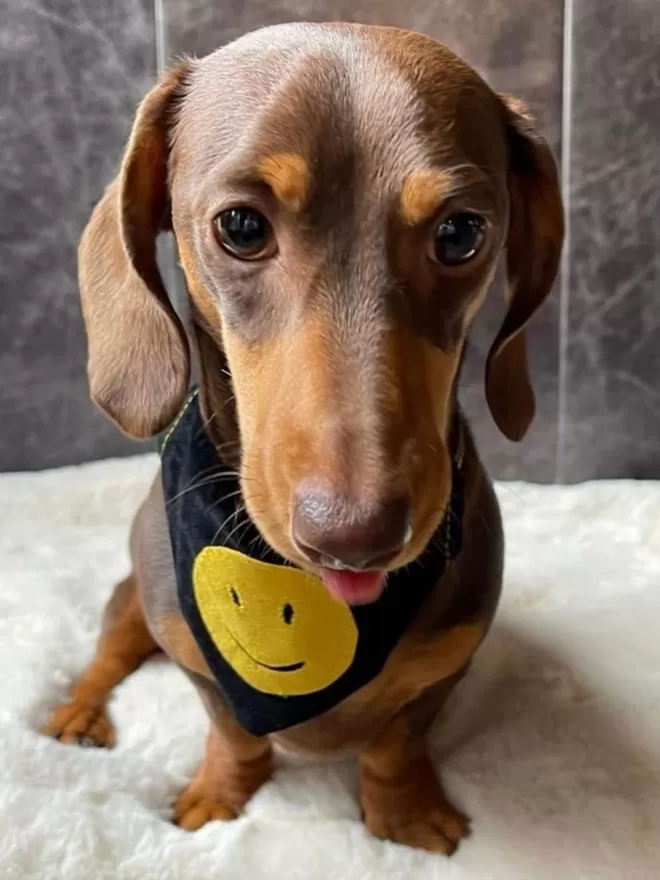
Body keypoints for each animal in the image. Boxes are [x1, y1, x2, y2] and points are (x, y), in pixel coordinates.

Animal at [43, 24, 564, 856]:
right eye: (241, 227)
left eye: (461, 233)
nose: (356, 538)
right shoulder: (202, 668)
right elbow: (234, 733)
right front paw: (221, 794)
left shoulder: (447, 665)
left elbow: (395, 742)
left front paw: (402, 814)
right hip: (131, 598)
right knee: (110, 652)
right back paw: (79, 711)